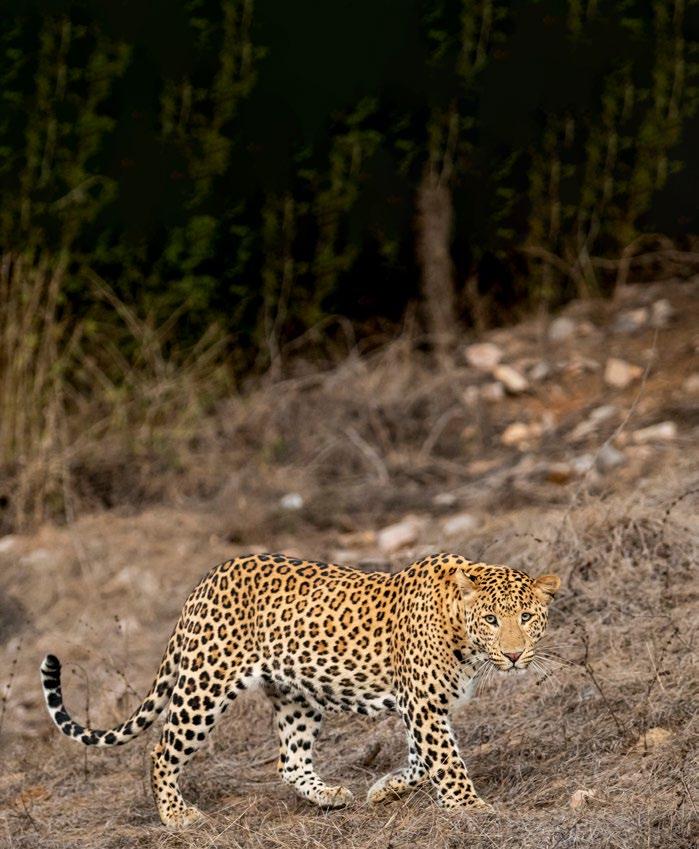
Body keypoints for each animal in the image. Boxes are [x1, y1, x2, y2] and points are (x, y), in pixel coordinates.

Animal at [40, 552, 560, 829]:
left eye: (526, 617)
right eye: (491, 619)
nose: (515, 655)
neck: (463, 635)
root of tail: (203, 582)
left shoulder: (423, 708)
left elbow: (420, 760)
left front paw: (384, 791)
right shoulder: (424, 705)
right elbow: (447, 760)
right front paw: (471, 808)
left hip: (296, 695)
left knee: (289, 760)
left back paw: (329, 795)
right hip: (205, 684)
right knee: (161, 749)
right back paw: (176, 815)